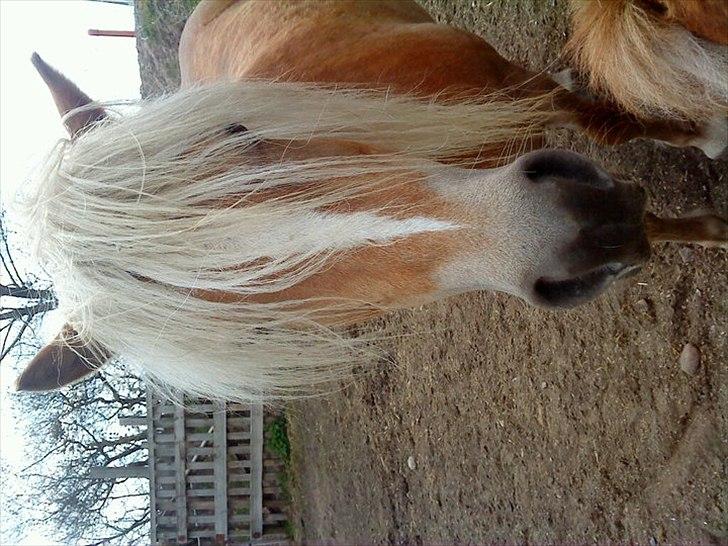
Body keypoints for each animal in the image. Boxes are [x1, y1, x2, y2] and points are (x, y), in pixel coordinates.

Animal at [15, 0, 728, 400]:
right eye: (265, 323)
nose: (567, 230)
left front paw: (707, 131)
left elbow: (617, 121)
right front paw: (708, 225)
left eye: (238, 131)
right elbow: (652, 219)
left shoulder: (519, 88)